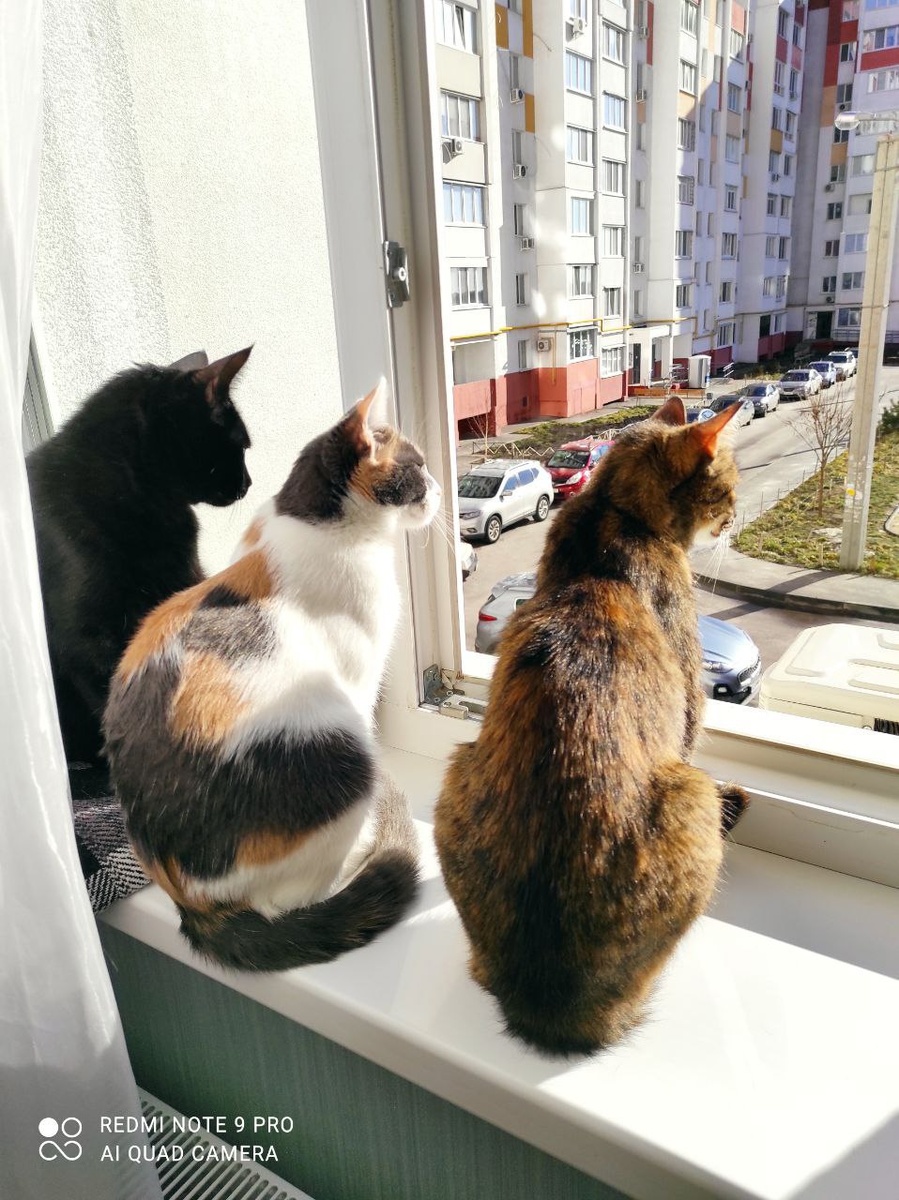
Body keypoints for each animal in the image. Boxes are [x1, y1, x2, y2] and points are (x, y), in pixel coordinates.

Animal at [103, 380, 441, 971]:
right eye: (417, 466)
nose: (441, 489)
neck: (310, 519)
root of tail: (192, 903)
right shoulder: (357, 678)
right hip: (338, 748)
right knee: (291, 898)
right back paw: (361, 852)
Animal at [434, 395, 750, 1057]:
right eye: (728, 483)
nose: (736, 515)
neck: (611, 508)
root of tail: (547, 1004)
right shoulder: (688, 703)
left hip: (458, 769)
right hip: (691, 795)